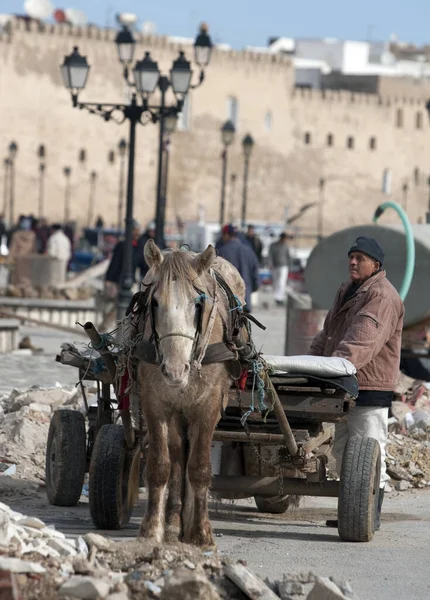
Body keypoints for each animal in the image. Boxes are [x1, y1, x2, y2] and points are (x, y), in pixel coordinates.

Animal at [128, 240, 245, 548]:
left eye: (198, 304)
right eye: (155, 302)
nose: (175, 370)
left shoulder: (208, 408)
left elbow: (200, 468)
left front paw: (201, 532)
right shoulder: (155, 404)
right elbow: (161, 466)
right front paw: (152, 529)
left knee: (192, 457)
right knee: (179, 455)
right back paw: (173, 522)